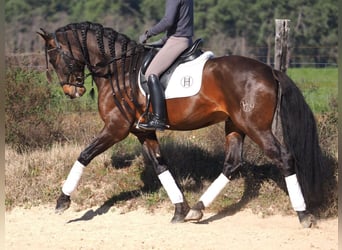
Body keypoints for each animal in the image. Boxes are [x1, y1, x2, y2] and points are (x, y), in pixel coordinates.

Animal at [37, 22, 324, 229]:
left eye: (55, 58)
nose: (71, 91)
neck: (118, 69)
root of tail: (270, 71)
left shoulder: (116, 128)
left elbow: (84, 155)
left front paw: (62, 200)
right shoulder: (142, 130)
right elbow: (161, 166)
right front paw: (179, 209)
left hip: (256, 127)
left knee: (284, 158)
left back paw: (303, 214)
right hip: (235, 125)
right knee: (232, 164)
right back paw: (197, 209)